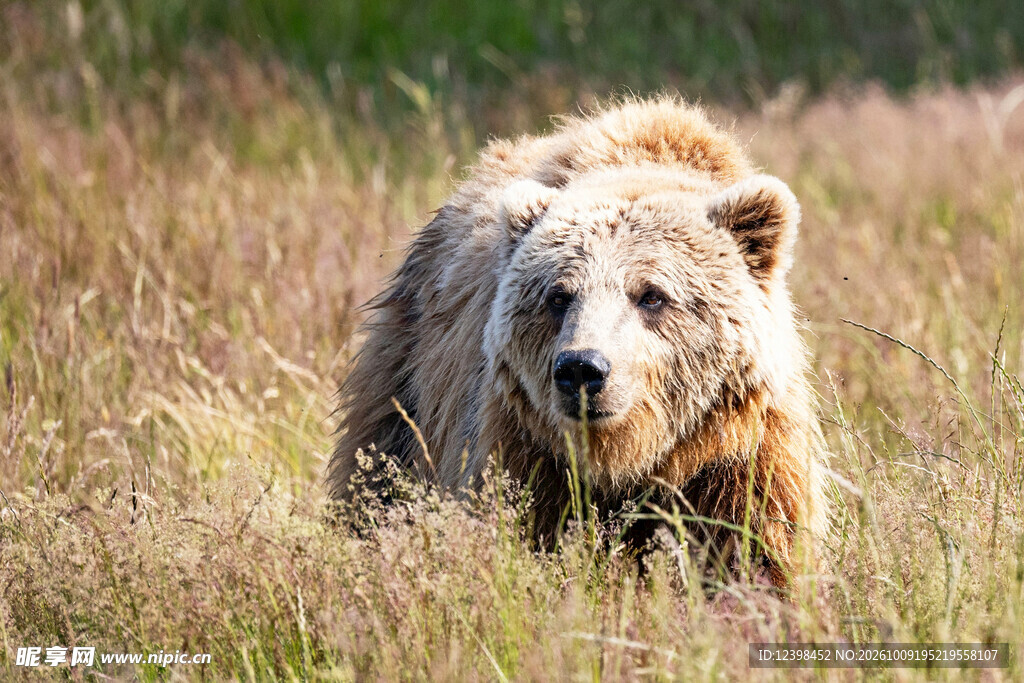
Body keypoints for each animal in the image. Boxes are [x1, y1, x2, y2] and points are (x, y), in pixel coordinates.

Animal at [328, 96, 827, 587]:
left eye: (652, 295)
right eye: (559, 295)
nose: (581, 368)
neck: (630, 457)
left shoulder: (741, 453)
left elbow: (756, 543)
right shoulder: (525, 444)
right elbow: (529, 529)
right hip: (408, 376)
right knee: (378, 470)